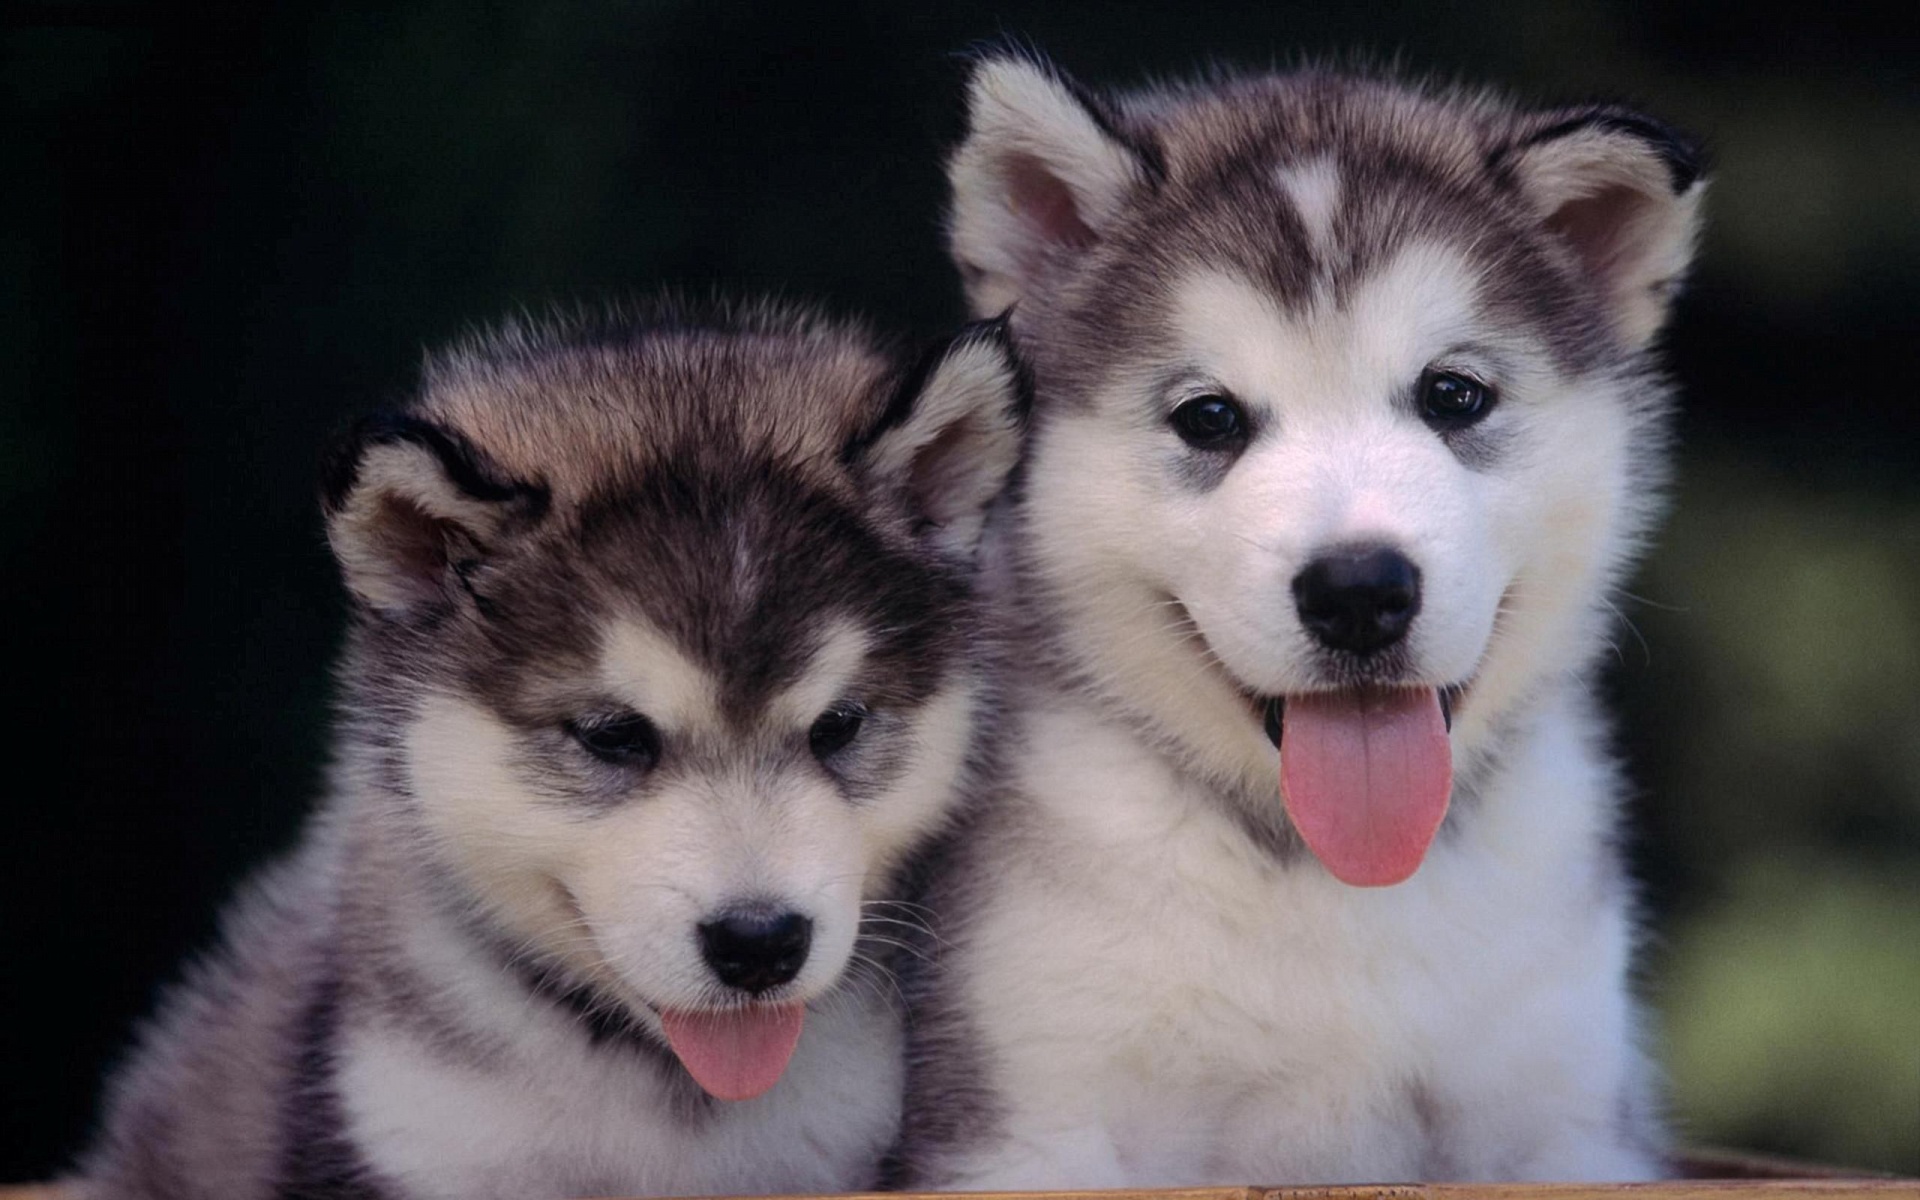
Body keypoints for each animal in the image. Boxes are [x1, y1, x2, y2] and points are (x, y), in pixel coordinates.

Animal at [898, 51, 1712, 1182]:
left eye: (1454, 395)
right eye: (1208, 417)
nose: (1359, 592)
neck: (1334, 882)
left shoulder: (1567, 1117)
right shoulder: (1027, 1116)